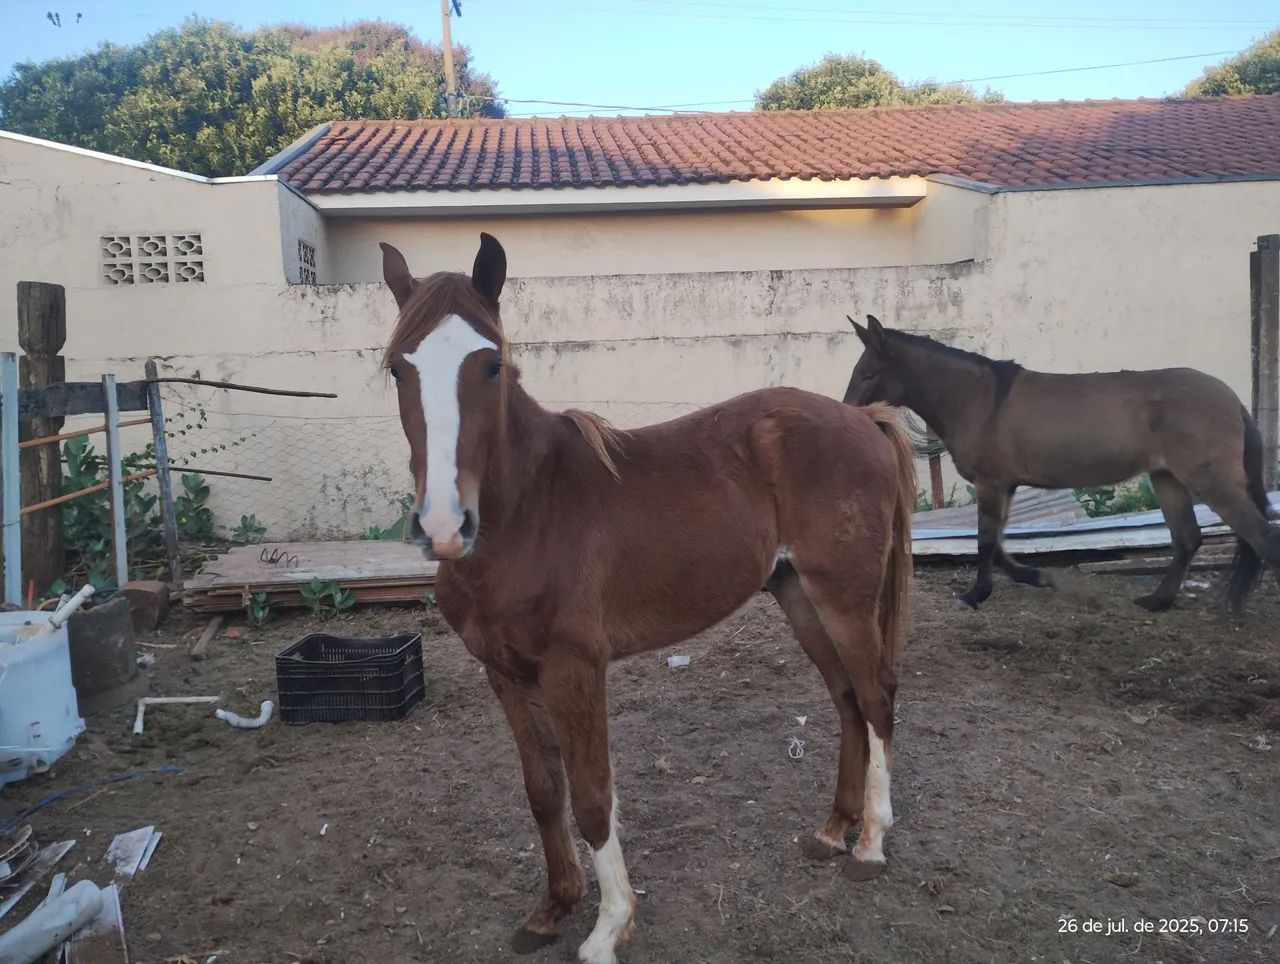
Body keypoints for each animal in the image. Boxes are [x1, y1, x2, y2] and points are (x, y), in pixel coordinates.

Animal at [379, 233, 917, 964]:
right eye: (398, 370)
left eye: (491, 367)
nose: (442, 526)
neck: (530, 514)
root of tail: (863, 417)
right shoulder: (504, 674)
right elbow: (543, 792)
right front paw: (552, 909)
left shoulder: (574, 671)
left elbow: (592, 797)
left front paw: (610, 926)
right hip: (801, 598)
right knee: (847, 700)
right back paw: (834, 830)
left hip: (844, 599)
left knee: (877, 695)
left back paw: (869, 845)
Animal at [843, 314, 1280, 615]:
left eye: (869, 373)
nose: (849, 415)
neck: (980, 400)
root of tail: (1230, 398)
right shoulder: (1007, 485)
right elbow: (997, 543)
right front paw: (1035, 576)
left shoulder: (991, 483)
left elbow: (985, 541)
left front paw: (976, 593)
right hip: (1167, 478)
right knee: (1189, 539)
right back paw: (1157, 600)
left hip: (1212, 482)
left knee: (1261, 538)